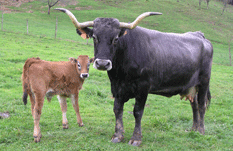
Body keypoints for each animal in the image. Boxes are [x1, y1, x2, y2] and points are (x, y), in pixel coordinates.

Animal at [56, 8, 213, 146]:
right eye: (94, 37)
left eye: (116, 39)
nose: (102, 63)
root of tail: (199, 35)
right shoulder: (117, 88)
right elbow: (117, 109)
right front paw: (118, 135)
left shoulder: (143, 88)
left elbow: (137, 112)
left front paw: (136, 138)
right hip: (191, 85)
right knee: (194, 105)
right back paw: (193, 129)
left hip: (204, 82)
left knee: (201, 105)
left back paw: (201, 130)